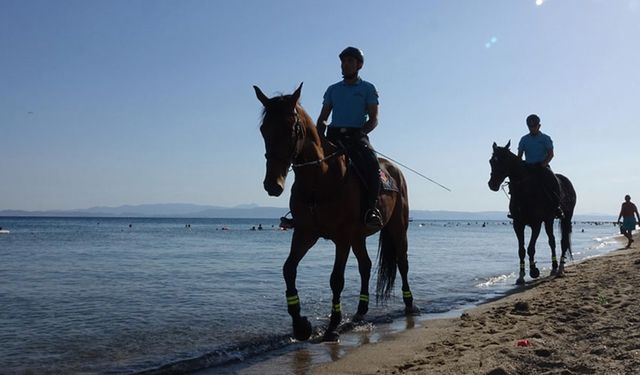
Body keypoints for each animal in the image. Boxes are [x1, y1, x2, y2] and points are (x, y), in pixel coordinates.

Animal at [252, 84, 422, 344]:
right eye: (264, 130)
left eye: (291, 128)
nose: (273, 184)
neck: (320, 179)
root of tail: (395, 171)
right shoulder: (305, 234)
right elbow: (288, 269)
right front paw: (301, 325)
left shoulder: (342, 238)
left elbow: (336, 279)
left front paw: (332, 326)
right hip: (358, 237)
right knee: (365, 265)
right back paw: (360, 311)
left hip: (397, 227)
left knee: (402, 263)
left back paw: (410, 304)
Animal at [488, 142, 576, 284]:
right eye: (491, 161)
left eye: (503, 161)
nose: (492, 184)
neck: (525, 190)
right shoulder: (518, 224)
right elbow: (522, 250)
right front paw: (521, 276)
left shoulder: (536, 224)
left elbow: (531, 248)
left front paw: (534, 271)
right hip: (549, 220)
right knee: (552, 241)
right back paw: (554, 267)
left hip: (566, 218)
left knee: (563, 242)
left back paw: (560, 268)